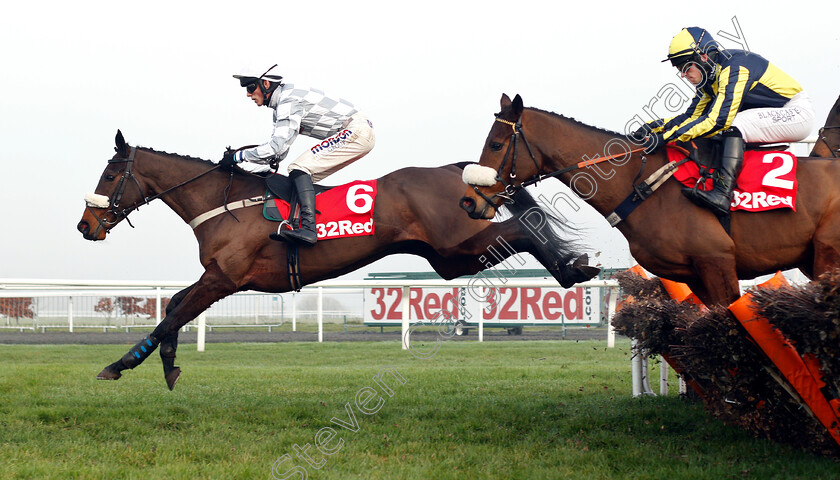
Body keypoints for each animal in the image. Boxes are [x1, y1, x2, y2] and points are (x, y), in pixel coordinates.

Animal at [79, 131, 596, 390]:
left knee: (525, 225)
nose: (86, 225)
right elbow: (173, 307)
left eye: (109, 174)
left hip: (457, 247)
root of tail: (454, 170)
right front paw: (168, 366)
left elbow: (172, 315)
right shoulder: (219, 277)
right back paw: (572, 267)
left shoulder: (225, 277)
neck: (223, 203)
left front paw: (119, 364)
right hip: (448, 259)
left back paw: (574, 267)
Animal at [460, 92, 840, 306]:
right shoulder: (693, 274)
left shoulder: (717, 261)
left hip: (827, 256)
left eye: (495, 144)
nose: (468, 202)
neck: (642, 186)